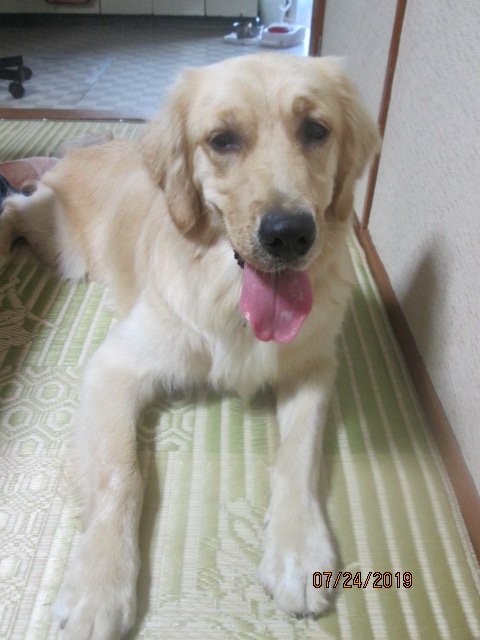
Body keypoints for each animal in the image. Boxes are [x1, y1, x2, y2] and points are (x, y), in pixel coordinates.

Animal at [0, 53, 380, 639]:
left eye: (316, 130)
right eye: (222, 140)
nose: (290, 233)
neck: (230, 294)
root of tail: (98, 143)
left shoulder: (313, 365)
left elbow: (299, 455)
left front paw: (297, 550)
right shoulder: (115, 366)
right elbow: (122, 474)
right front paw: (98, 585)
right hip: (60, 244)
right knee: (17, 208)